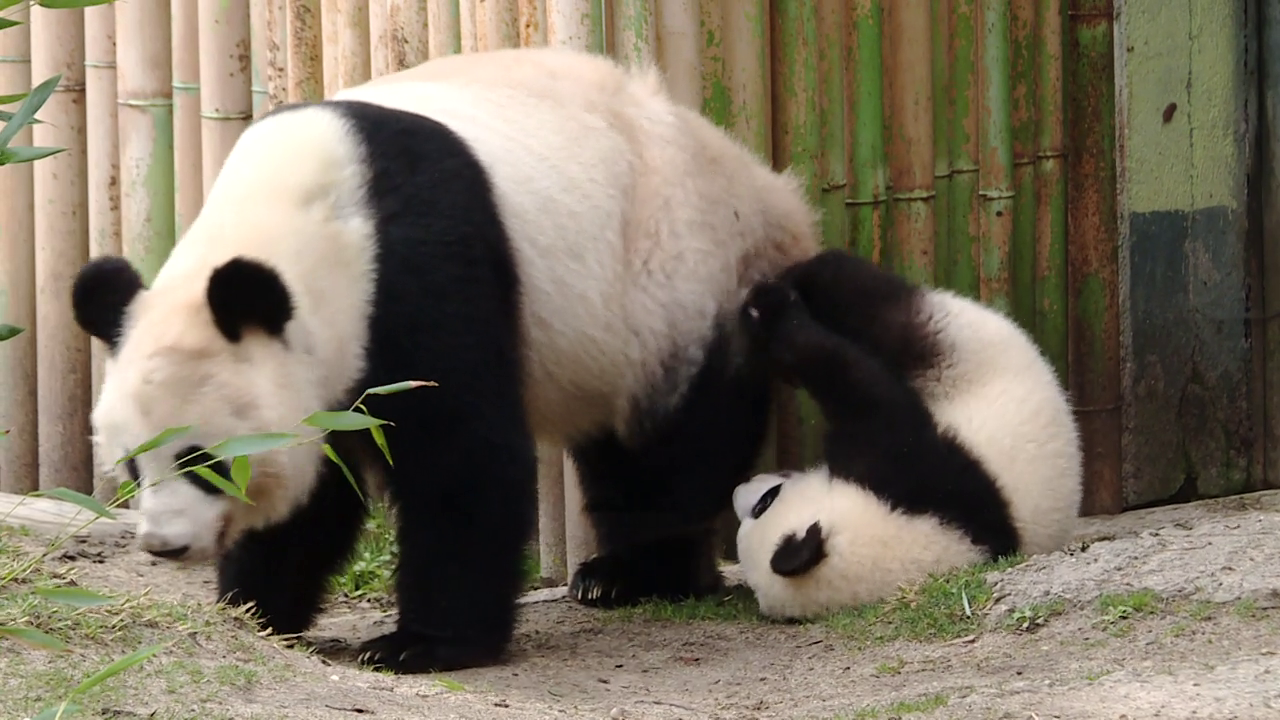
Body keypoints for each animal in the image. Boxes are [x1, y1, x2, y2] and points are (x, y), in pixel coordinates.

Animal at [69, 46, 820, 672]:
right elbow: (317, 487)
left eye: (205, 460)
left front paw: (420, 646)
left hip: (680, 287)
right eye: (131, 465)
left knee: (673, 448)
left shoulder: (417, 266)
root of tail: (774, 193)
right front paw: (256, 610)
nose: (164, 546)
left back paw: (636, 574)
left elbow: (462, 455)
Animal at [729, 249, 1082, 620]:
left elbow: (857, 385)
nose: (740, 489)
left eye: (766, 502)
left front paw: (771, 313)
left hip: (947, 347)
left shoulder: (915, 471)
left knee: (872, 303)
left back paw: (789, 288)